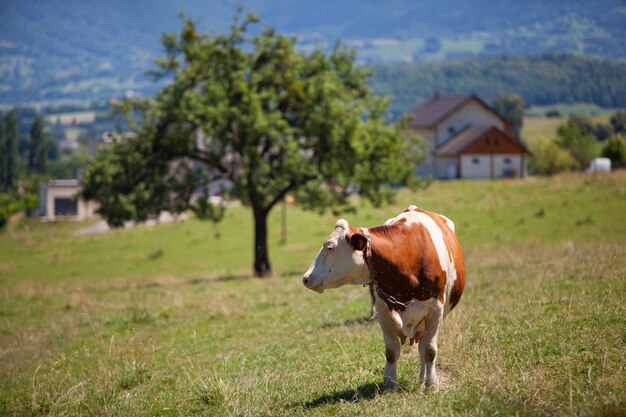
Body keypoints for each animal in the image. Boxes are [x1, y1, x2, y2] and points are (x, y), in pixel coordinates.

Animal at [302, 205, 464, 390]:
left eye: (330, 247)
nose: (306, 278)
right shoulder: (383, 310)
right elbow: (391, 351)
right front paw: (390, 383)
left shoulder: (435, 310)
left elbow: (429, 350)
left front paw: (431, 385)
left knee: (423, 346)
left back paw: (423, 380)